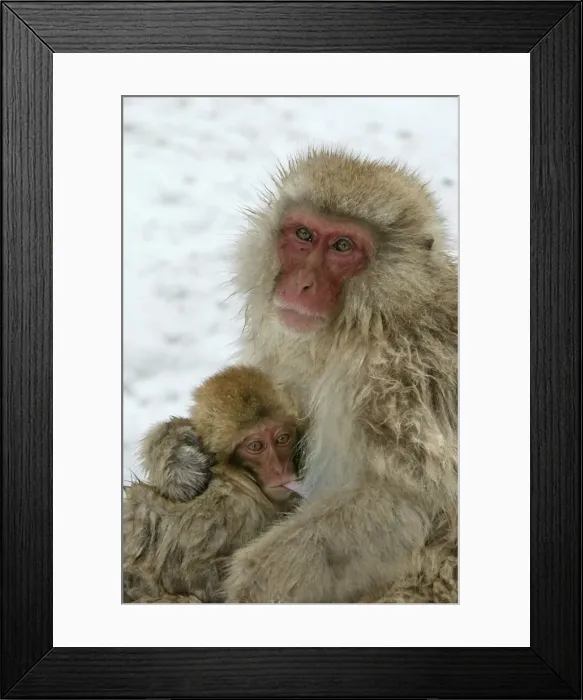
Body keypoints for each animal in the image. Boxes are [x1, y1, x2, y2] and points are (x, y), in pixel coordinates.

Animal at [123, 364, 303, 603]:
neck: (242, 478)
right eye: (256, 446)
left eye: (282, 438)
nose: (278, 469)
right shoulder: (235, 508)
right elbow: (187, 572)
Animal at [141, 146, 458, 604]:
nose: (302, 283)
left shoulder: (397, 377)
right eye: (304, 235)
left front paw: (252, 587)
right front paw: (174, 452)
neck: (371, 321)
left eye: (342, 246)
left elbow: (406, 503)